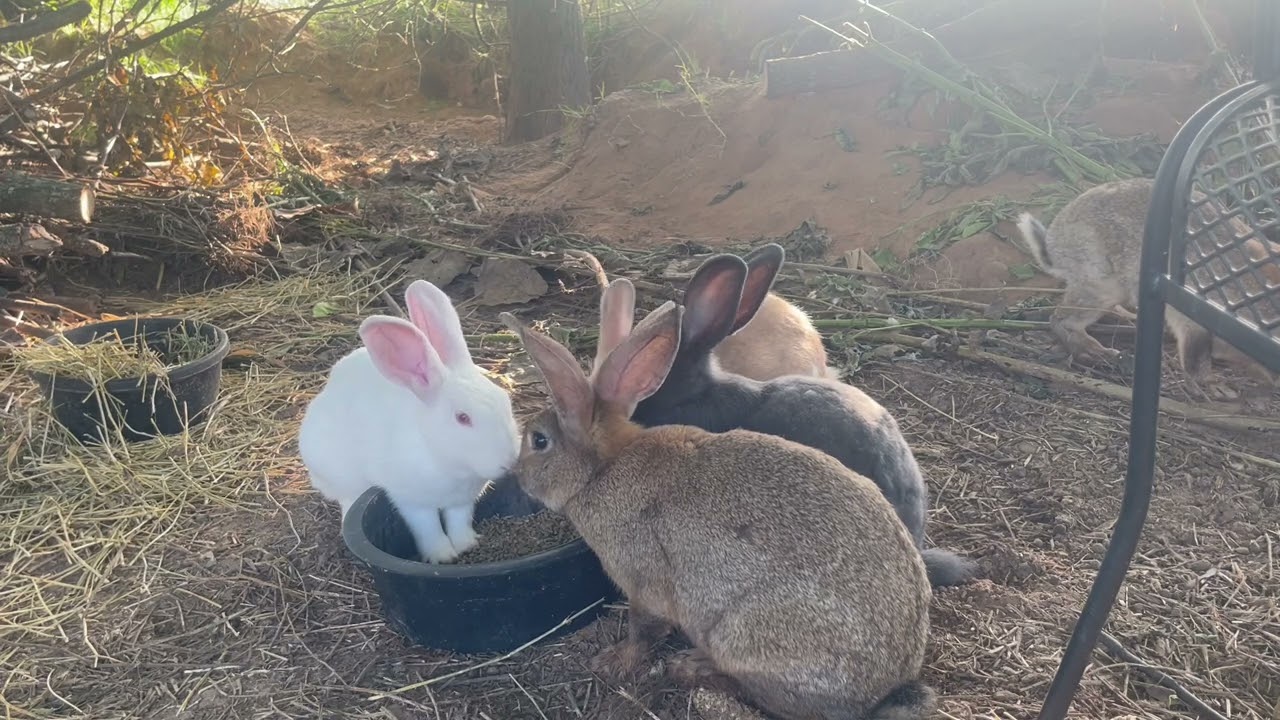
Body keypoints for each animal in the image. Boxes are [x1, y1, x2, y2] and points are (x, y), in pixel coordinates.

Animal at [298, 279, 521, 564]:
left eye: (506, 401)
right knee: (346, 498)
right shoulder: (413, 501)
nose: (510, 462)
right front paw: (442, 556)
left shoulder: (462, 502)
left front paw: (466, 546)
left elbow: (458, 522)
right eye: (462, 418)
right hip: (339, 473)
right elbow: (428, 527)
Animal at [500, 302, 935, 720]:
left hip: (740, 635)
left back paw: (691, 666)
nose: (516, 476)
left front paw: (612, 661)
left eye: (539, 441)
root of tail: (885, 690)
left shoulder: (643, 582)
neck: (600, 468)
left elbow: (643, 631)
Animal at [1017, 177, 1280, 397]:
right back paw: (1093, 351)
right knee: (1061, 319)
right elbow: (1195, 357)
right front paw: (1214, 389)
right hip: (1100, 284)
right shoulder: (1193, 322)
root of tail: (1053, 244)